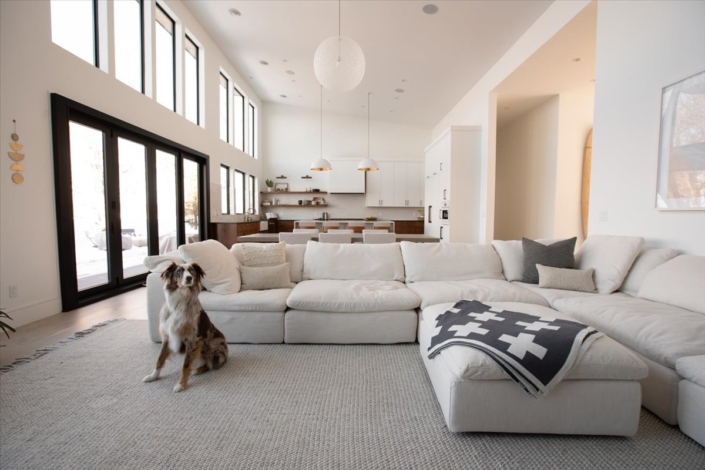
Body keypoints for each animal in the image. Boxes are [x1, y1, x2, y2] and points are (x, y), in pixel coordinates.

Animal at [144, 262, 228, 392]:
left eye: (192, 271)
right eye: (179, 271)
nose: (189, 278)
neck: (180, 301)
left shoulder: (192, 340)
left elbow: (186, 365)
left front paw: (181, 385)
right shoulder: (167, 337)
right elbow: (160, 359)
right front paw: (153, 376)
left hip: (208, 344)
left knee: (209, 364)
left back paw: (197, 370)